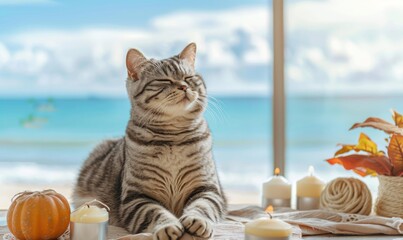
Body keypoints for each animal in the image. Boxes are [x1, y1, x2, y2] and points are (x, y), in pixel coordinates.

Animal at [72, 42, 227, 239]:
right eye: (165, 80)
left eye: (189, 77)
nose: (184, 86)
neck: (173, 137)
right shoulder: (135, 197)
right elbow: (153, 212)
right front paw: (167, 225)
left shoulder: (208, 188)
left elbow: (202, 206)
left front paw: (197, 220)